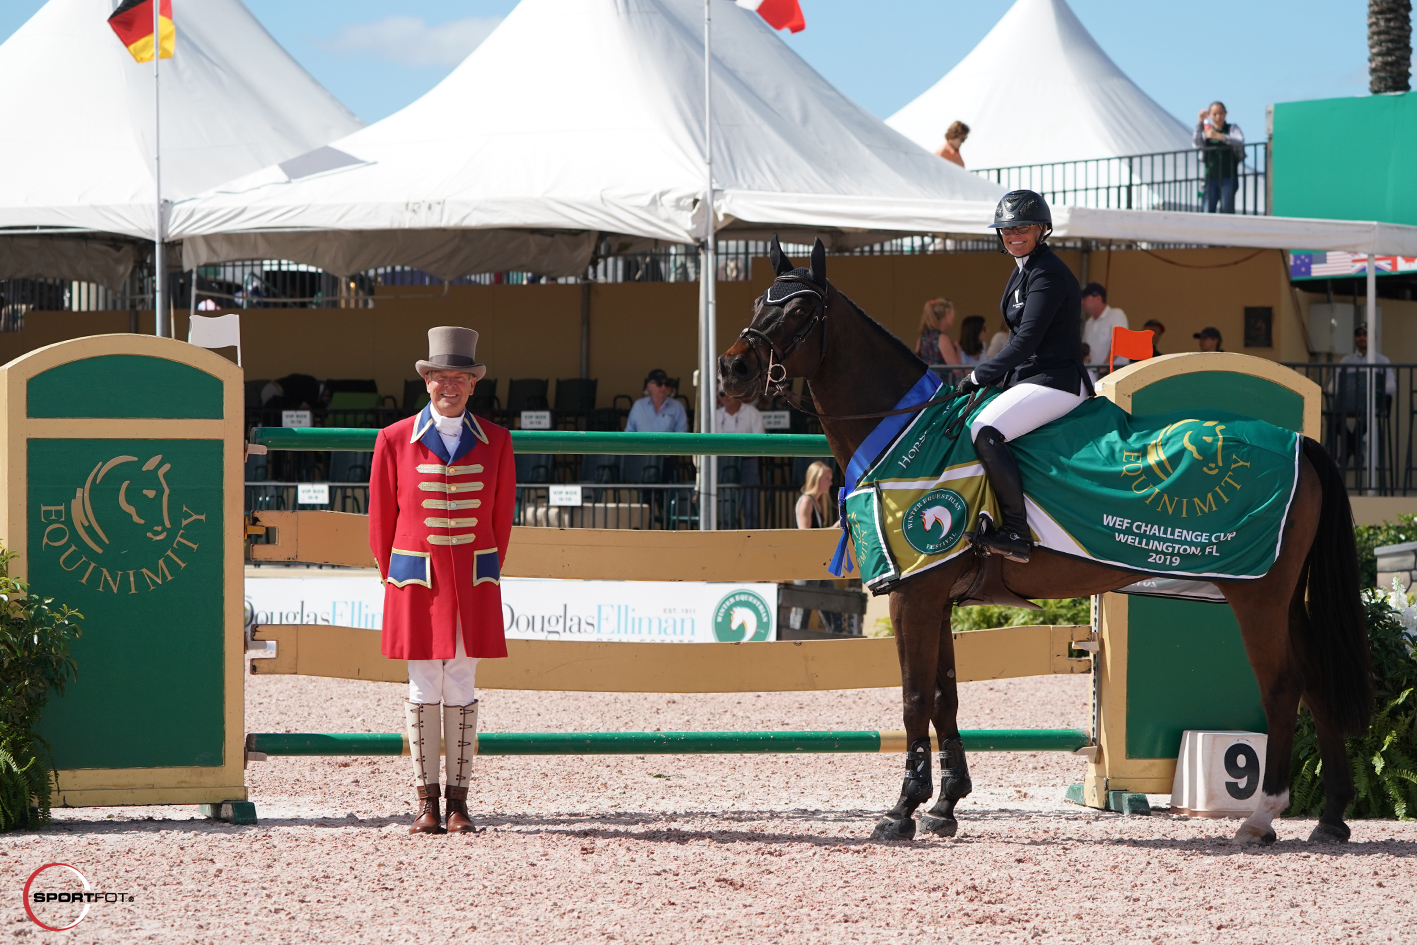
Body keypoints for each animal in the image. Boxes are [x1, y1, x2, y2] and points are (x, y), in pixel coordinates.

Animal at [719, 240, 1371, 844]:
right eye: (758, 302)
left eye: (801, 308)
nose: (733, 370)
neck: (906, 429)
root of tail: (1302, 442)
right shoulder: (938, 596)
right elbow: (946, 697)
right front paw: (945, 805)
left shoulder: (914, 595)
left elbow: (914, 699)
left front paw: (901, 812)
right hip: (1284, 599)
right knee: (1316, 681)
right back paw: (1331, 819)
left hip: (1256, 596)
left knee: (1283, 687)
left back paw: (1260, 819)